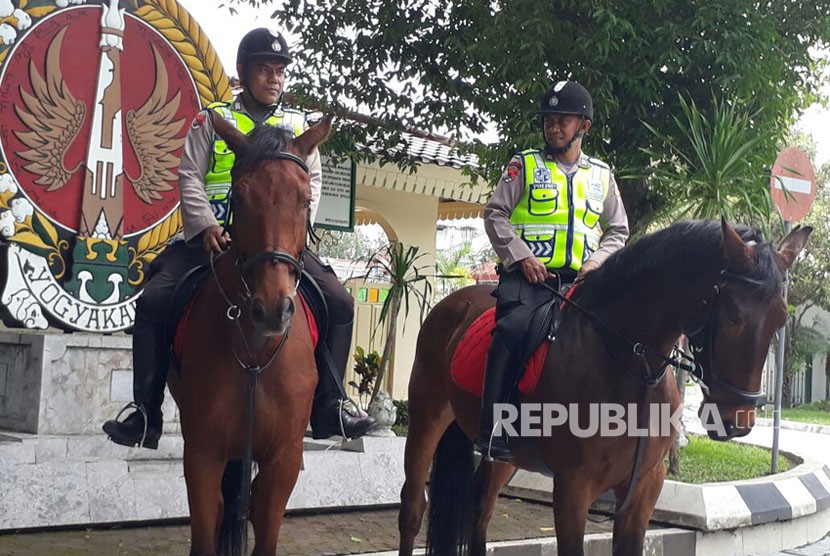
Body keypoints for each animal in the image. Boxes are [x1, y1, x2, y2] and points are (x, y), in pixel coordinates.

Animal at [167, 113, 334, 556]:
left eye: (305, 199)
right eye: (240, 198)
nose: (272, 308)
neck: (256, 353)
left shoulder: (285, 456)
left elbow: (263, 518)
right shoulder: (202, 451)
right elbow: (209, 521)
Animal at [400, 222, 816, 556]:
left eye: (781, 317)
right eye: (733, 314)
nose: (737, 420)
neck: (631, 367)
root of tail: (454, 302)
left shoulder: (643, 489)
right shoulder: (573, 488)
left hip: (505, 456)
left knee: (481, 510)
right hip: (426, 418)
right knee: (412, 509)